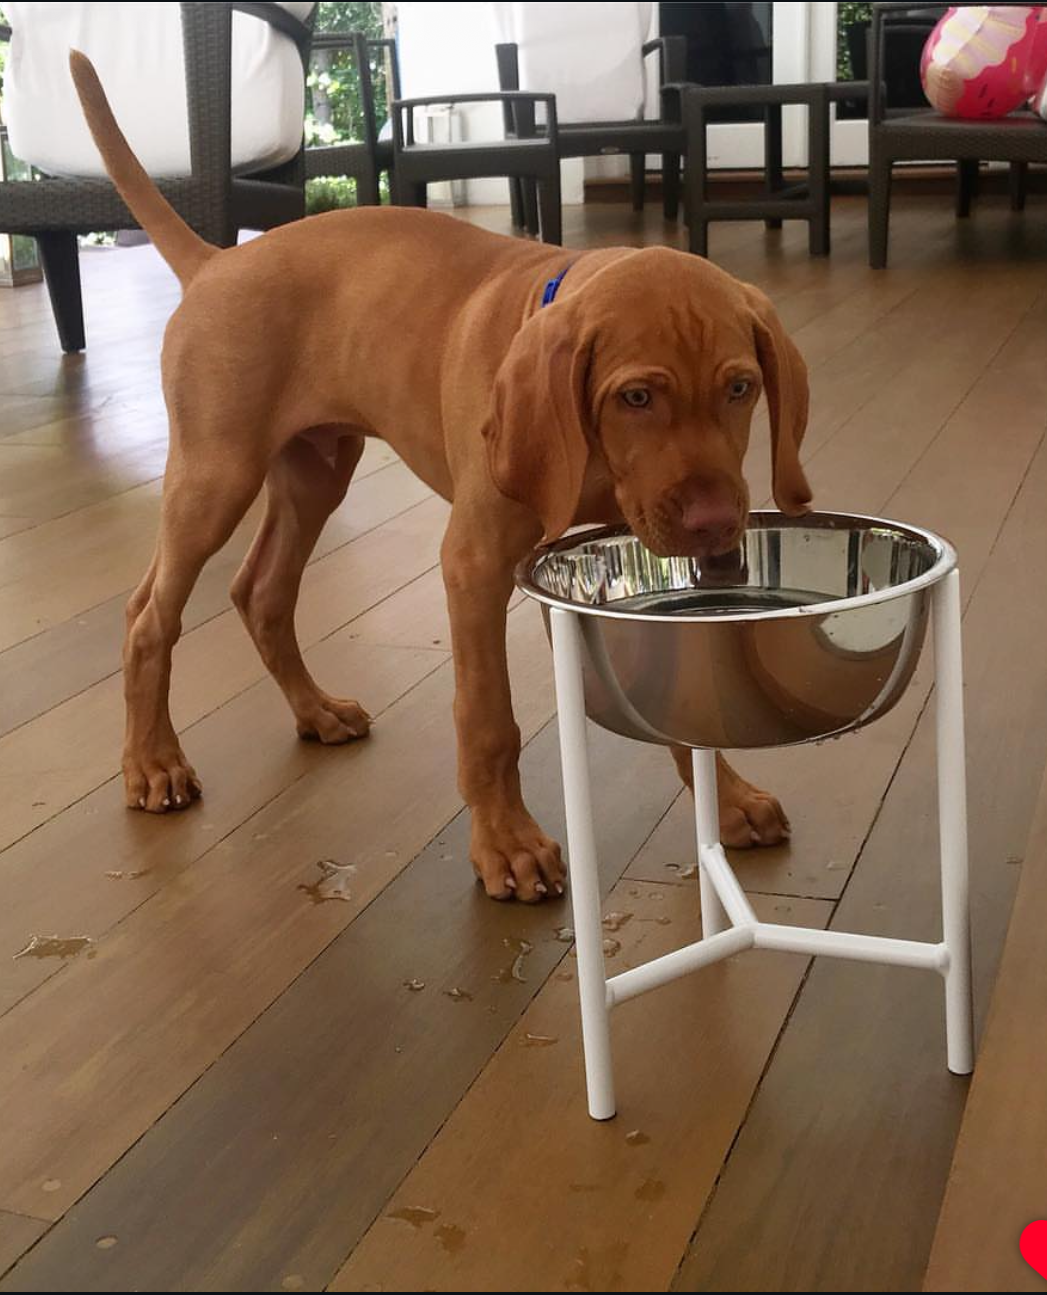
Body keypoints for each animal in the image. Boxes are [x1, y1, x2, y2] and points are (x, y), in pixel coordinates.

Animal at [70, 52, 810, 904]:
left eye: (740, 387)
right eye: (635, 397)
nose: (717, 527)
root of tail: (218, 261)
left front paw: (729, 798)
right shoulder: (475, 562)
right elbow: (488, 718)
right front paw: (506, 844)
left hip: (315, 470)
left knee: (261, 592)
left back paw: (315, 710)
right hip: (214, 475)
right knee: (148, 614)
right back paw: (153, 763)